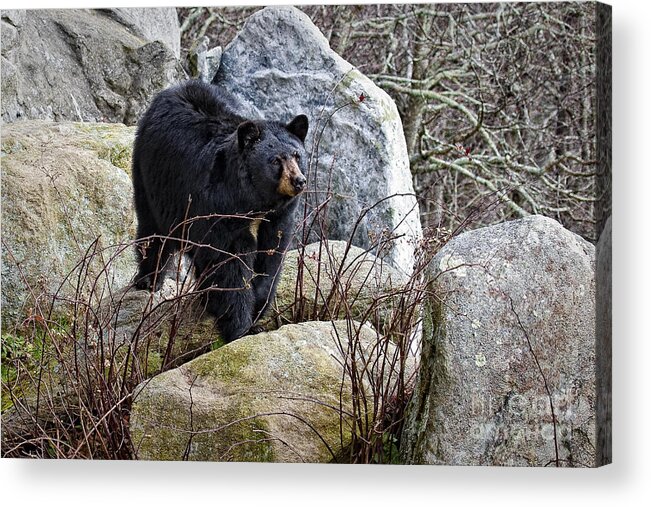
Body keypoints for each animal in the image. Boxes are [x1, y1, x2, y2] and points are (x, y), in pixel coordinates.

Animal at [131, 80, 310, 342]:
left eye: (297, 155)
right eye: (276, 160)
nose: (299, 181)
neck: (252, 201)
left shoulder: (278, 217)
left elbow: (272, 254)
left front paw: (258, 307)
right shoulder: (218, 209)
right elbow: (227, 262)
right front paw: (239, 324)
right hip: (151, 176)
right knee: (153, 229)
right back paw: (148, 279)